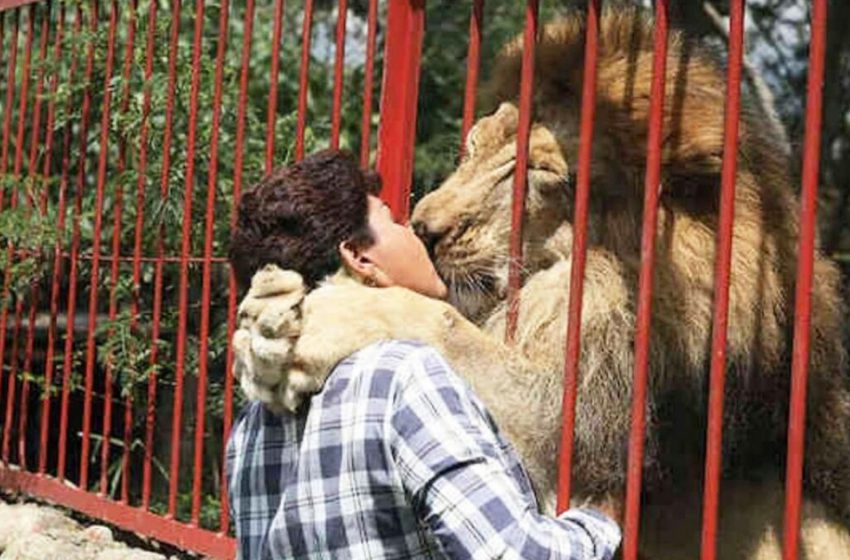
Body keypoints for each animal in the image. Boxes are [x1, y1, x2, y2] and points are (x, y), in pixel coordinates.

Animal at [232, 8, 848, 560]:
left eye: (538, 172)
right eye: (474, 147)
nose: (424, 229)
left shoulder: (583, 444)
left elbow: (446, 325)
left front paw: (328, 314)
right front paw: (263, 328)